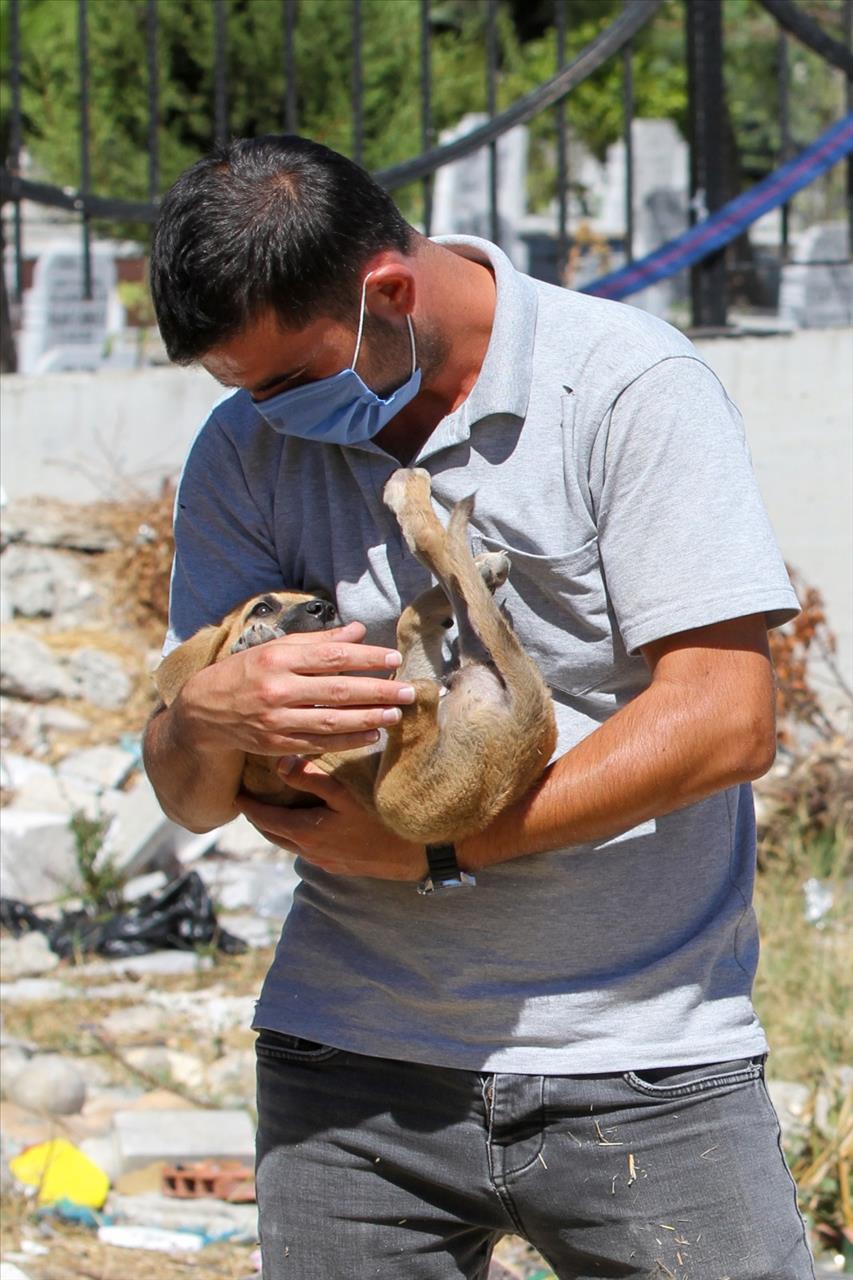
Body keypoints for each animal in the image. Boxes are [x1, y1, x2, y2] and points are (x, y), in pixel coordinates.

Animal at [155, 465, 555, 844]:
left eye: (317, 598)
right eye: (262, 608)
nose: (324, 608)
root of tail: (525, 729)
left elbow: (415, 620)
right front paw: (253, 642)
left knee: (422, 611)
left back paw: (473, 563)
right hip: (397, 798)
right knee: (422, 674)